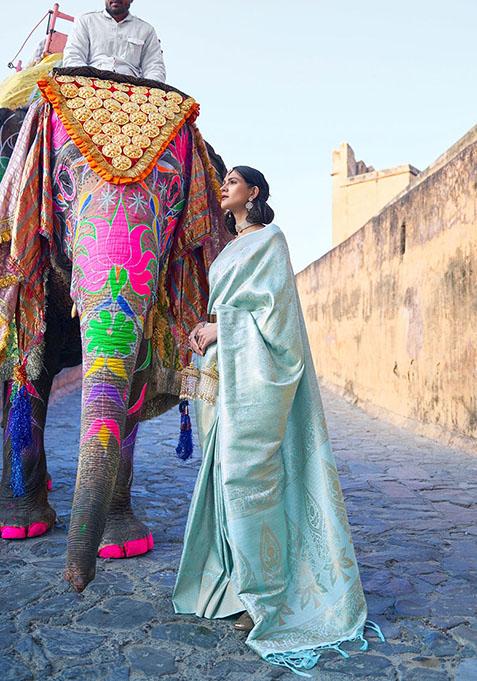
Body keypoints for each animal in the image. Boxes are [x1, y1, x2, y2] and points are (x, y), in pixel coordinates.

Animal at [0, 67, 229, 588]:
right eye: (62, 182)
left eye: (174, 195)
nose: (76, 584)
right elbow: (26, 368)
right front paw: (21, 529)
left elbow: (138, 372)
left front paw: (125, 547)